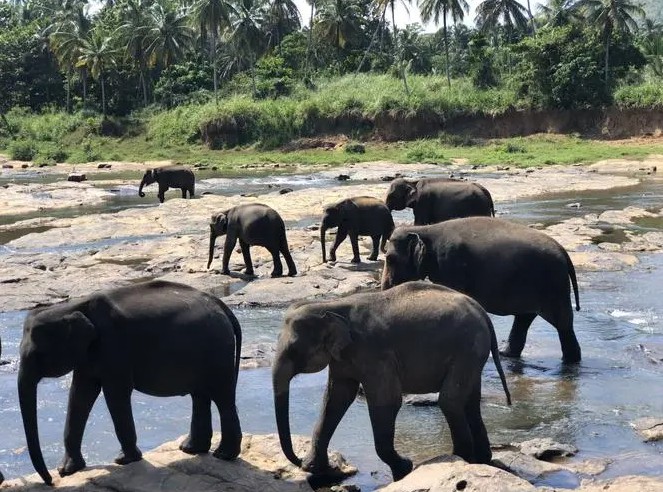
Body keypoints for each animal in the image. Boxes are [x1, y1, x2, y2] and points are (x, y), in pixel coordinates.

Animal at [16, 280, 243, 484]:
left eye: (38, 355)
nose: (50, 481)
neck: (73, 307)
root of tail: (222, 306)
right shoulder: (88, 356)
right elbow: (79, 395)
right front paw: (68, 470)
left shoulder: (114, 348)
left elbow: (115, 393)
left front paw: (124, 460)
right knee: (200, 395)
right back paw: (191, 449)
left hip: (218, 350)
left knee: (222, 397)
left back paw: (223, 455)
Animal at [272, 282, 510, 482]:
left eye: (293, 351)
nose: (298, 461)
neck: (330, 306)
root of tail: (481, 310)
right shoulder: (342, 357)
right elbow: (336, 399)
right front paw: (314, 468)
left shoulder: (375, 353)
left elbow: (386, 401)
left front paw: (405, 468)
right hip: (472, 353)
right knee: (470, 401)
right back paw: (482, 460)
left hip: (467, 348)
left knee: (450, 401)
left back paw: (461, 459)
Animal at [382, 217, 584, 364]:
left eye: (390, 259)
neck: (426, 230)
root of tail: (564, 252)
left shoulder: (450, 265)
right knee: (525, 318)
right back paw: (505, 354)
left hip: (553, 284)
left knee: (562, 323)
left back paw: (570, 362)